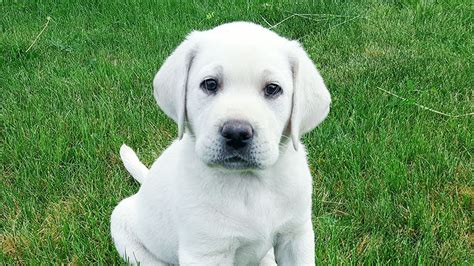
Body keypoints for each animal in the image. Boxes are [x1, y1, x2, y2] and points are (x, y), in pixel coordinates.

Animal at [110, 21, 330, 264]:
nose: (236, 133)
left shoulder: (296, 235)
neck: (249, 184)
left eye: (273, 88)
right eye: (210, 84)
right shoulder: (206, 252)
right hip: (124, 228)